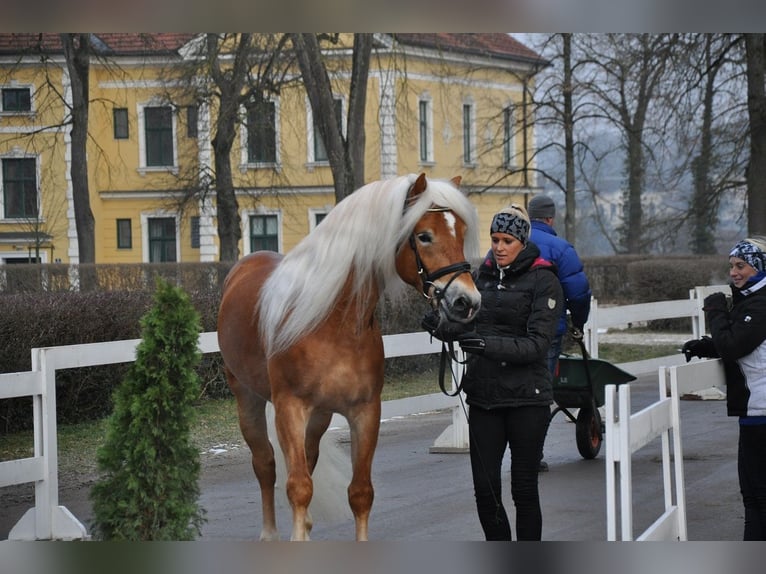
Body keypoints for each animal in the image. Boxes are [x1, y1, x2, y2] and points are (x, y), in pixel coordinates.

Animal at [216, 173, 480, 544]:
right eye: (424, 235)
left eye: (461, 231)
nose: (466, 301)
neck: (332, 321)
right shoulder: (290, 408)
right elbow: (298, 487)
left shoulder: (365, 412)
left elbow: (360, 492)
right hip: (248, 399)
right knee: (265, 464)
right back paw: (269, 534)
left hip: (320, 415)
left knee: (308, 459)